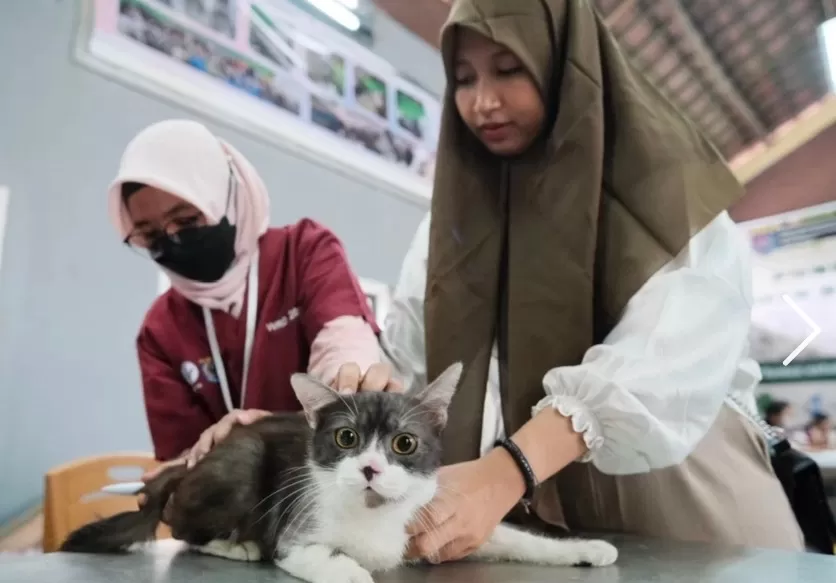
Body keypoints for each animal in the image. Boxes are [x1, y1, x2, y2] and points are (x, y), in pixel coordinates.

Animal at [62, 362, 616, 580]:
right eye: (346, 438)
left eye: (404, 443)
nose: (369, 467)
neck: (373, 517)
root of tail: (181, 469)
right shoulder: (293, 532)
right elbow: (316, 558)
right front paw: (350, 569)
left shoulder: (430, 522)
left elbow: (514, 539)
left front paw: (586, 549)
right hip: (243, 465)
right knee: (182, 528)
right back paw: (236, 545)